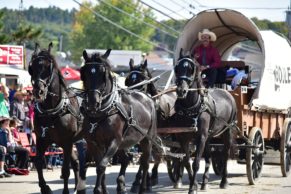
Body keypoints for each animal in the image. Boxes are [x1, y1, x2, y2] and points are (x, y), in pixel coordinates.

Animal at [28, 42, 85, 194]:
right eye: (32, 67)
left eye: (49, 67)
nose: (39, 91)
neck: (51, 111)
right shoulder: (42, 140)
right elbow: (38, 163)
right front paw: (44, 187)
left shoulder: (67, 141)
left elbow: (65, 170)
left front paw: (64, 191)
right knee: (76, 162)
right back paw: (77, 188)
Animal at [80, 49, 159, 194]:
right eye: (85, 73)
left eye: (103, 74)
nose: (93, 102)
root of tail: (148, 97)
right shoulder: (93, 143)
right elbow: (100, 167)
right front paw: (103, 190)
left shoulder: (114, 141)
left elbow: (101, 166)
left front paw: (98, 190)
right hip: (124, 142)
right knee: (126, 159)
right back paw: (121, 185)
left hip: (146, 139)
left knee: (145, 162)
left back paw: (142, 187)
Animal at [124, 58, 194, 189]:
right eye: (128, 81)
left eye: (141, 81)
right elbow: (149, 155)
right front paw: (142, 180)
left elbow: (154, 155)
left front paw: (148, 178)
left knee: (177, 151)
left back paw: (178, 177)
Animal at [175, 50, 238, 194]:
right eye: (177, 68)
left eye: (191, 69)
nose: (181, 90)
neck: (192, 107)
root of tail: (227, 93)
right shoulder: (183, 138)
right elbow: (187, 162)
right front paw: (195, 185)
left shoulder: (201, 137)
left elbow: (196, 163)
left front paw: (192, 188)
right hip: (209, 136)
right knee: (209, 156)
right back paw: (204, 183)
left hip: (227, 131)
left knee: (225, 154)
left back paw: (224, 181)